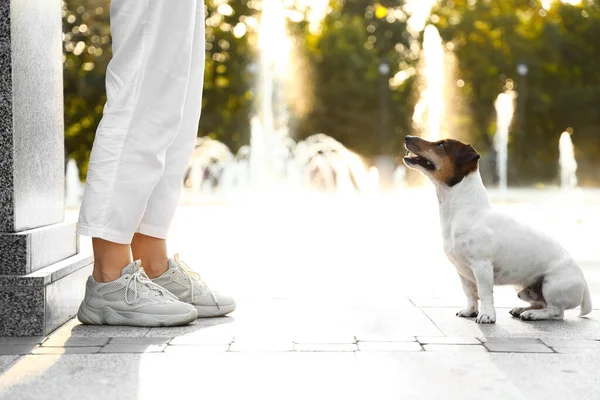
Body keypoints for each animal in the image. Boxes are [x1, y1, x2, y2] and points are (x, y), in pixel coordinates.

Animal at [400, 136, 592, 324]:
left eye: (441, 145)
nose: (407, 137)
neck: (464, 211)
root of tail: (584, 282)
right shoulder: (462, 271)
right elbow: (470, 293)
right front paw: (470, 311)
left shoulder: (482, 266)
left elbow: (484, 294)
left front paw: (486, 316)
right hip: (525, 290)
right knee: (540, 303)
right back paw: (522, 309)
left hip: (552, 286)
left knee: (556, 312)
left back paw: (534, 315)